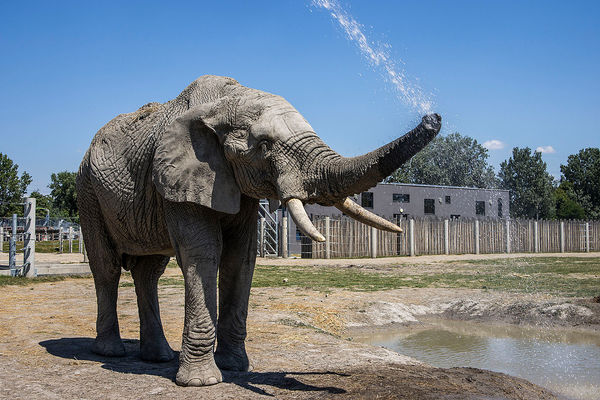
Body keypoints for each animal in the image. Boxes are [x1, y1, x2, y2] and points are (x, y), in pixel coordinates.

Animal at [75, 73, 440, 386]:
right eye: (264, 146)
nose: (432, 117)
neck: (223, 102)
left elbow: (241, 257)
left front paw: (236, 367)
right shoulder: (178, 179)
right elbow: (203, 254)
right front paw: (202, 382)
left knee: (149, 272)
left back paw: (158, 357)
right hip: (88, 191)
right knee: (107, 267)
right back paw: (110, 351)